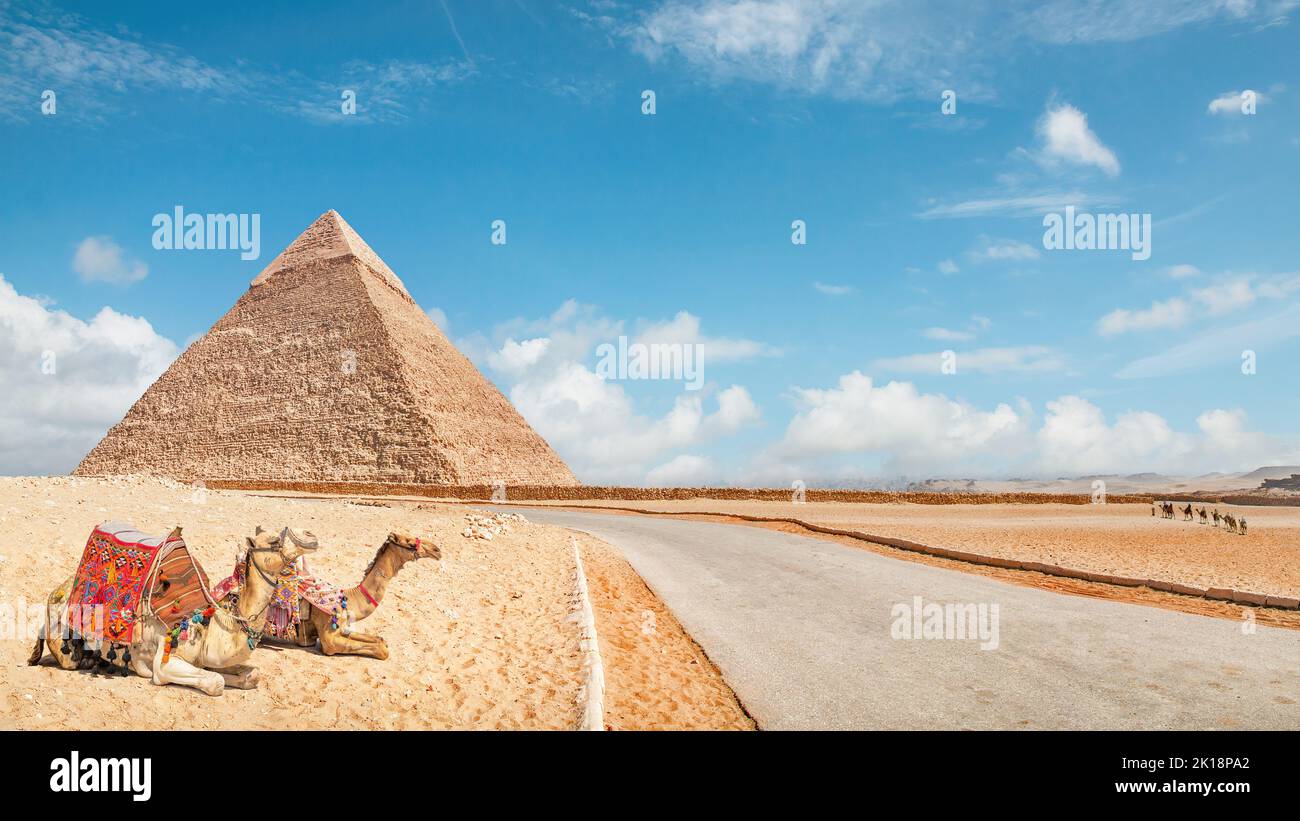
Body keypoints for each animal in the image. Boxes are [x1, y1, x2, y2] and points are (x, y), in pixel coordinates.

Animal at [28, 524, 317, 691]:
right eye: (274, 541)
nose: (310, 536)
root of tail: (54, 593)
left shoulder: (207, 657)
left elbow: (249, 675)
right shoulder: (165, 660)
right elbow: (214, 682)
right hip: (63, 642)